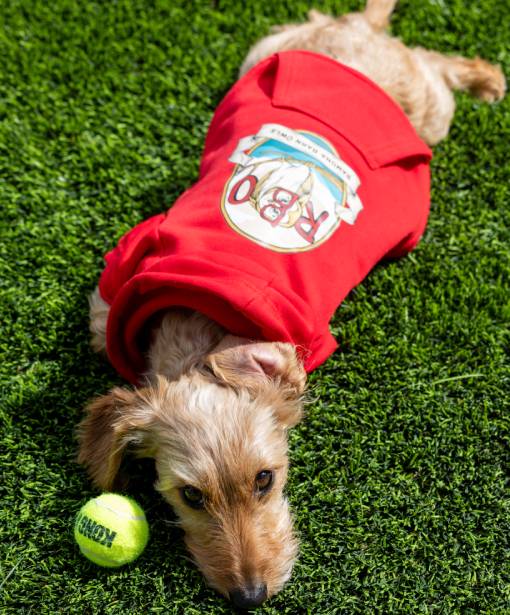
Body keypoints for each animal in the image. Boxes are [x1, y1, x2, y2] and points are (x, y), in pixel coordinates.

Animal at [77, 0, 504, 608]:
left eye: (266, 479)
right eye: (190, 495)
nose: (250, 597)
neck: (203, 327)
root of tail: (357, 34)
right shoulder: (109, 296)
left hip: (430, 109)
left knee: (435, 62)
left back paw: (487, 80)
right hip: (265, 50)